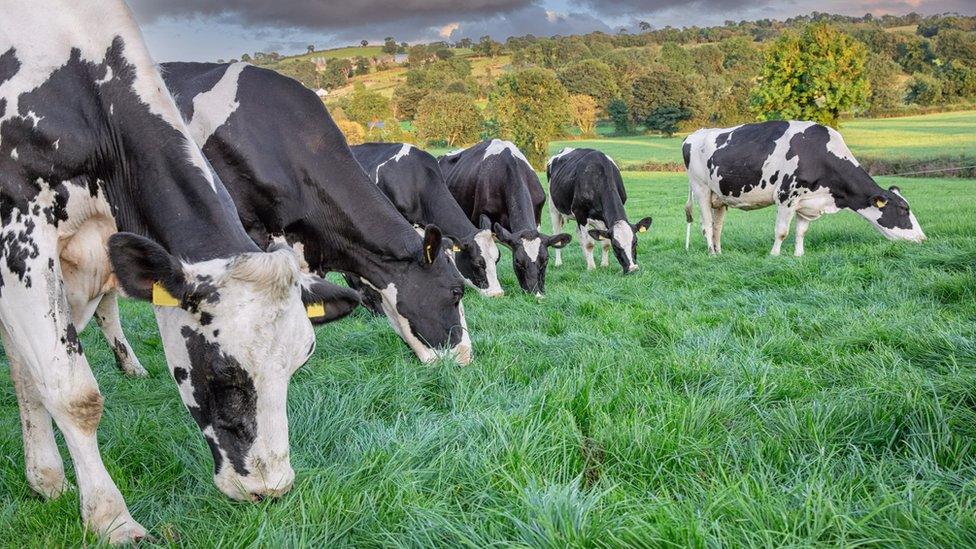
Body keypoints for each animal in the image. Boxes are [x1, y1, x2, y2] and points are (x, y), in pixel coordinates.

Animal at [0, 1, 356, 540]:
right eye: (226, 373)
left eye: (299, 363)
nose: (270, 489)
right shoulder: (18, 228)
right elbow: (73, 391)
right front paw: (112, 520)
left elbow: (30, 369)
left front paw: (46, 479)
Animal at [684, 121, 928, 254]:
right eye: (903, 210)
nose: (923, 238)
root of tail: (694, 134)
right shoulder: (786, 196)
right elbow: (782, 231)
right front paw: (774, 255)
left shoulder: (808, 201)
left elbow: (801, 231)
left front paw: (798, 255)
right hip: (701, 188)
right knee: (706, 225)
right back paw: (711, 253)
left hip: (720, 196)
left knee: (717, 227)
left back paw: (719, 252)